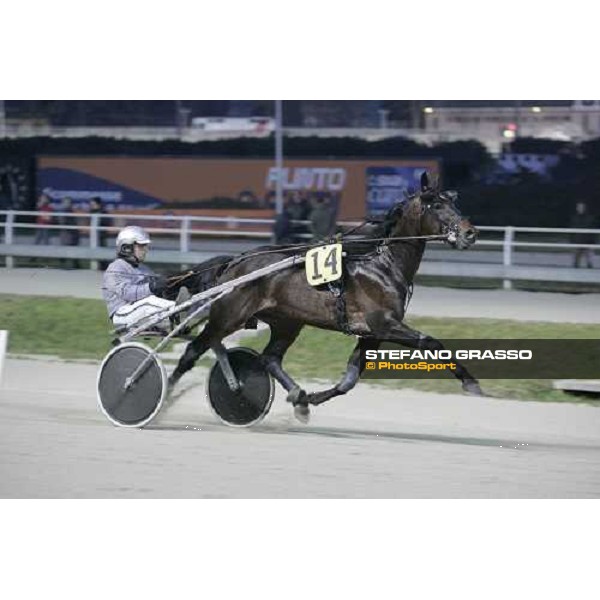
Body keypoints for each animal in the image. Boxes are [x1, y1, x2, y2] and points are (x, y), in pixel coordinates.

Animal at [168, 171, 482, 420]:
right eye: (438, 205)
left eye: (453, 201)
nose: (470, 233)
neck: (382, 265)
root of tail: (234, 262)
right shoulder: (384, 324)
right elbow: (431, 342)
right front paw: (471, 383)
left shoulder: (371, 334)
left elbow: (349, 380)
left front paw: (309, 399)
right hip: (228, 316)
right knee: (193, 350)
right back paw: (163, 395)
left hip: (287, 321)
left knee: (270, 359)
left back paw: (298, 396)